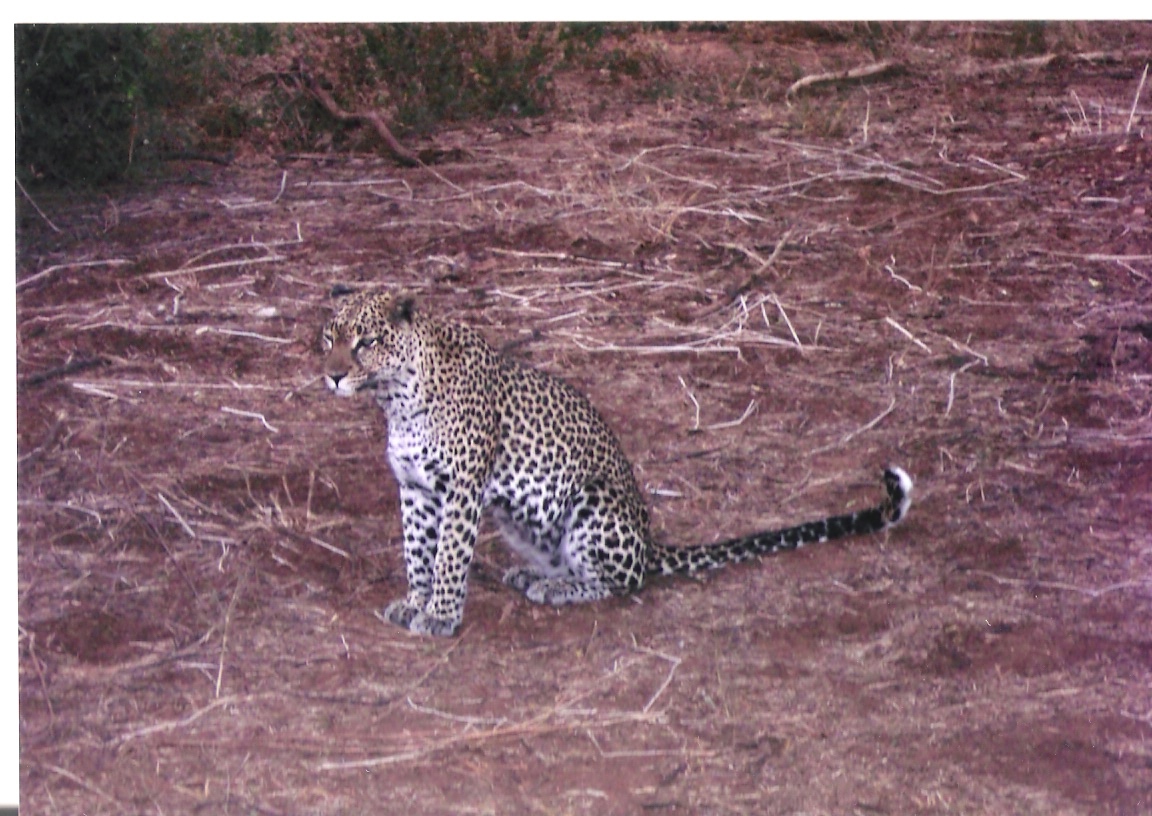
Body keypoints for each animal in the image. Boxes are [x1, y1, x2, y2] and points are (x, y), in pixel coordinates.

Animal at [321, 291, 913, 637]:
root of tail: (649, 543)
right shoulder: (415, 488)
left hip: (593, 503)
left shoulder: (462, 488)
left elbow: (447, 556)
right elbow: (416, 551)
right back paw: (535, 574)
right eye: (330, 337)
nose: (331, 375)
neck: (394, 399)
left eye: (366, 342)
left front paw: (441, 615)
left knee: (621, 580)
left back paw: (557, 588)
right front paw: (414, 602)